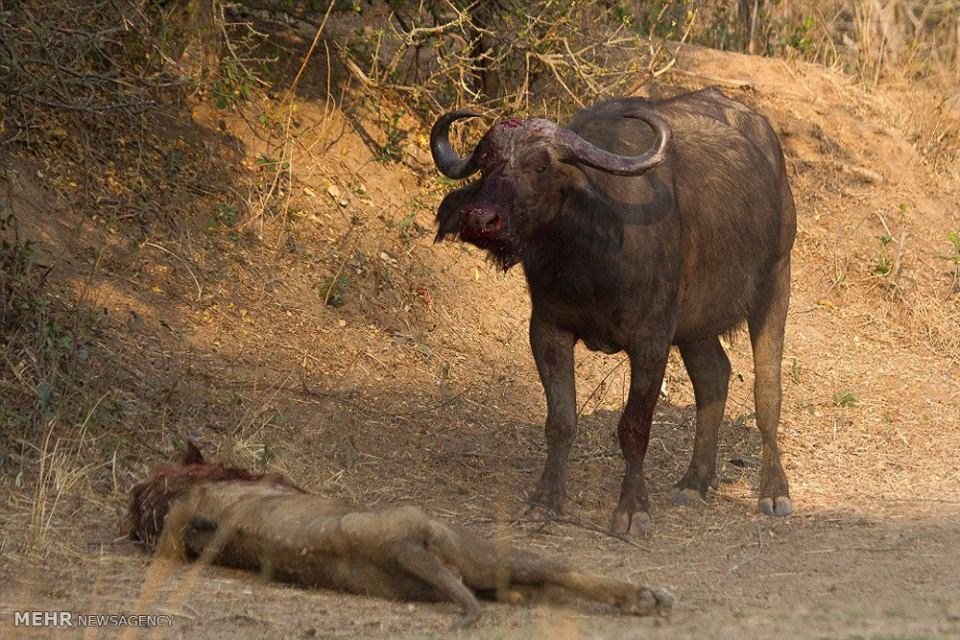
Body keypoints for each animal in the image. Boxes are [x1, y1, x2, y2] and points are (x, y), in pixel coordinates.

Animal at [432, 86, 800, 536]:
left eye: (540, 166)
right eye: (485, 162)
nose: (480, 220)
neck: (589, 255)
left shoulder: (651, 340)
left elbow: (634, 427)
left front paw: (632, 509)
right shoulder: (548, 329)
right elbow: (561, 421)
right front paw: (545, 501)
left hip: (776, 281)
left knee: (767, 391)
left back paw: (773, 491)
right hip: (695, 324)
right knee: (714, 377)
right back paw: (694, 481)